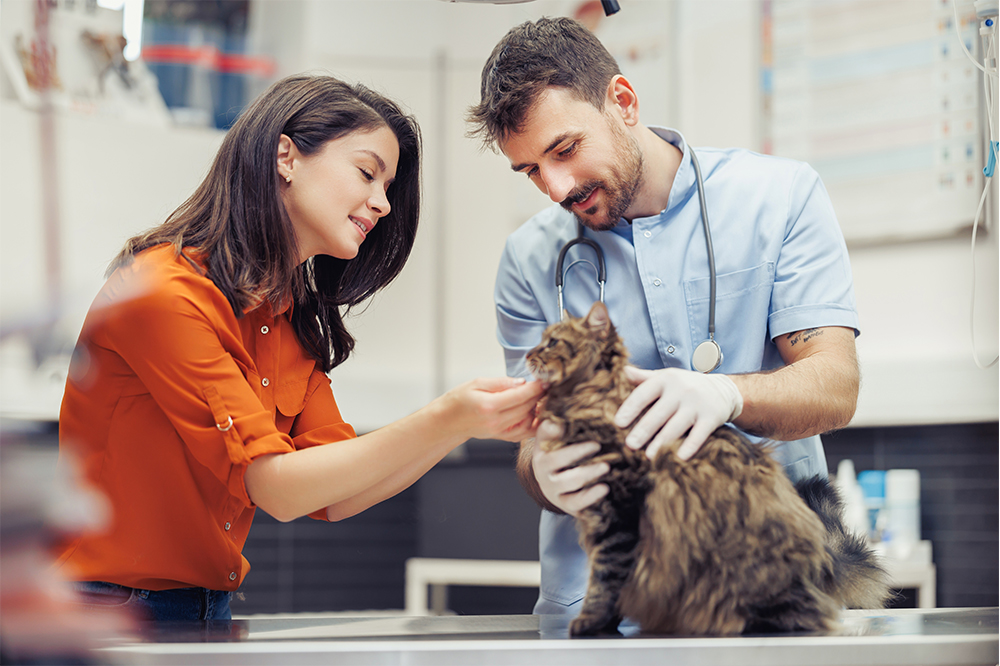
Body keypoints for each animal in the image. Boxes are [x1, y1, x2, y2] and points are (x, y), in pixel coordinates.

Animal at [524, 300, 892, 632]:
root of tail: (823, 559)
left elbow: (605, 580)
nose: (527, 354)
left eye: (552, 342)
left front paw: (590, 623)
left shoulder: (619, 514)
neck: (594, 399)